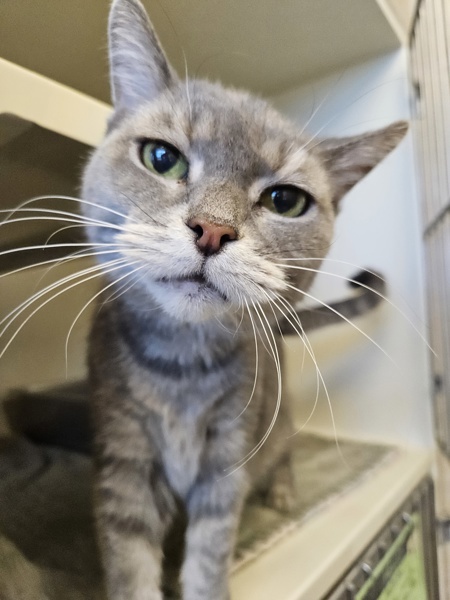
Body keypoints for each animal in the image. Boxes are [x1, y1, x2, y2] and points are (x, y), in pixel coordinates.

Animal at [79, 2, 410, 596]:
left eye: (285, 200)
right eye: (161, 157)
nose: (212, 229)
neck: (181, 369)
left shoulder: (230, 455)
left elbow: (210, 552)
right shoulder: (123, 458)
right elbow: (130, 560)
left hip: (274, 426)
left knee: (284, 451)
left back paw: (281, 490)